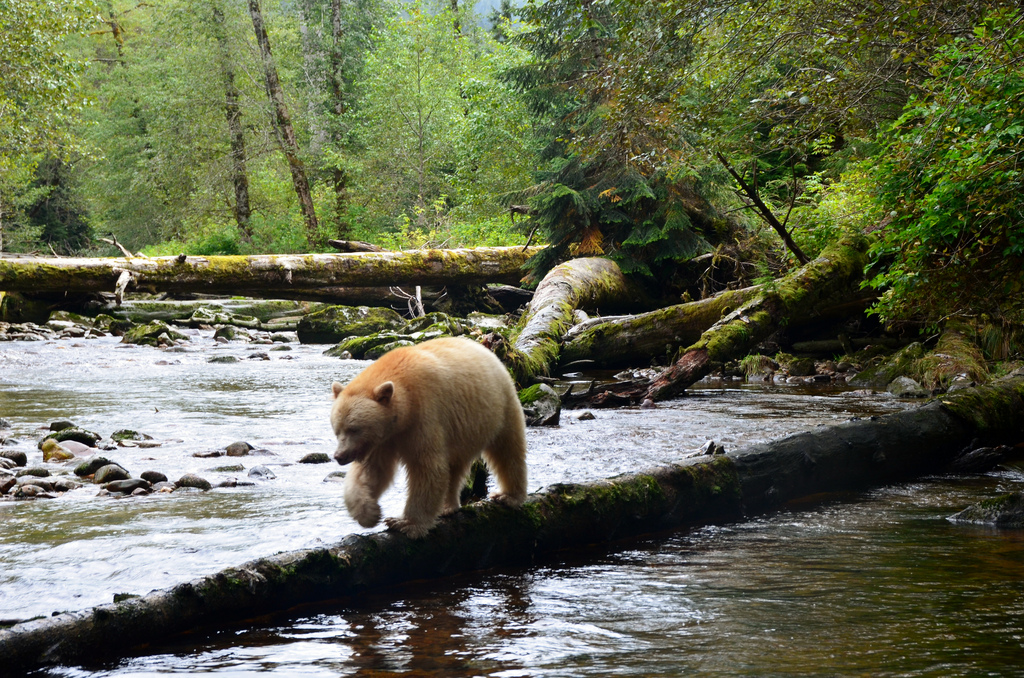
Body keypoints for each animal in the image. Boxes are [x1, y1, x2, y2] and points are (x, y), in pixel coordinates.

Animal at [330, 336, 528, 538]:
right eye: (337, 430)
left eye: (354, 429)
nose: (339, 456)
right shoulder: (384, 439)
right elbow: (372, 471)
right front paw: (369, 514)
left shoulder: (424, 414)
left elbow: (427, 468)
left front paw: (405, 523)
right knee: (455, 467)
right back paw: (447, 506)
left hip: (499, 407)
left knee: (507, 450)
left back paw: (508, 496)